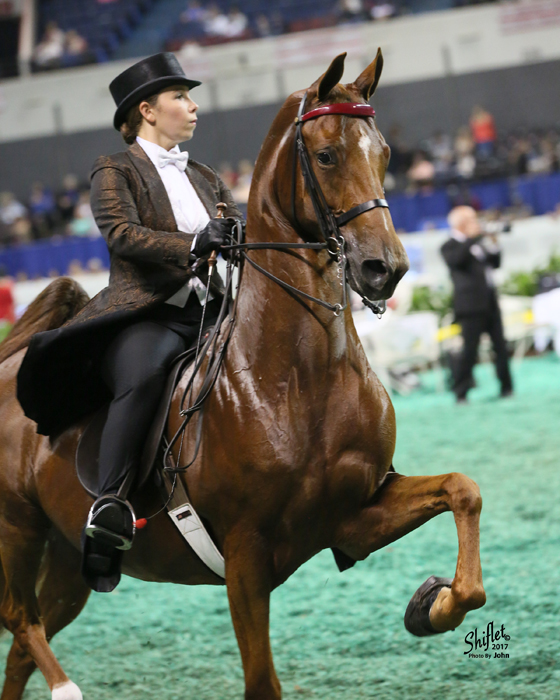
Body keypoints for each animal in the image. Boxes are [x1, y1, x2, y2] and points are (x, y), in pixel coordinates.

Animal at [0, 53, 484, 700]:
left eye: (384, 152)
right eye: (326, 155)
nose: (386, 269)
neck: (298, 379)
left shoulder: (353, 515)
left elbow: (462, 490)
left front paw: (432, 604)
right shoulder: (245, 557)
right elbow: (262, 684)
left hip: (68, 559)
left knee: (22, 647)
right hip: (19, 531)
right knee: (20, 620)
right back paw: (66, 687)